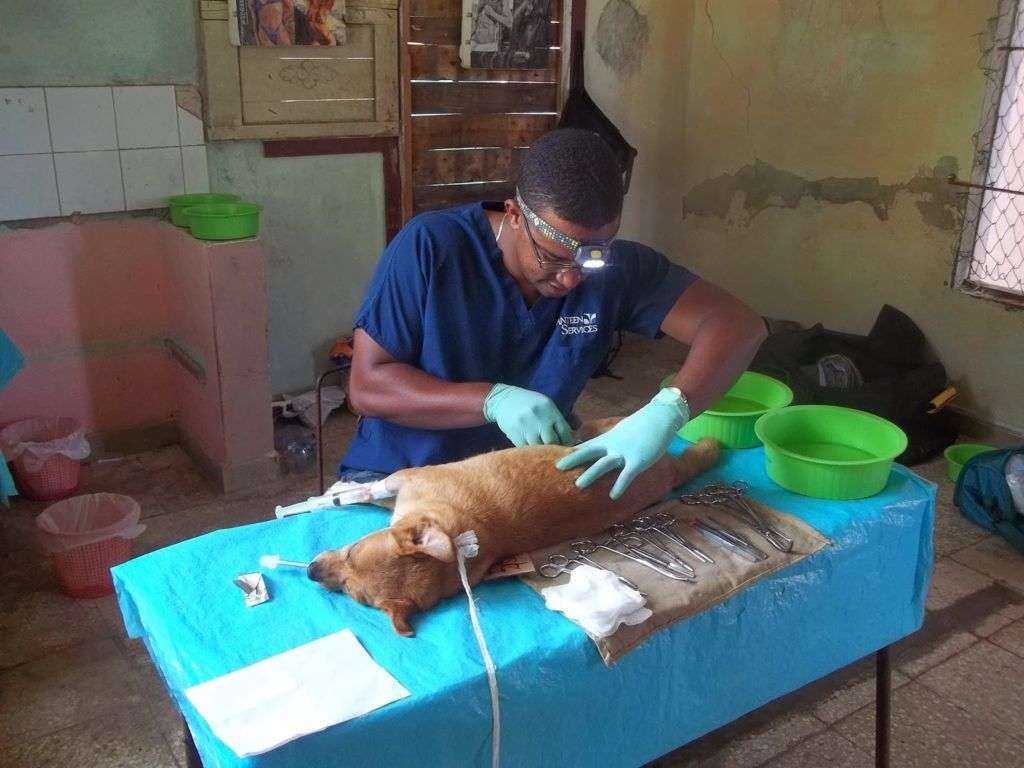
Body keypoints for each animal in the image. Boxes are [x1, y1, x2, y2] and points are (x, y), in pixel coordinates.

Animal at [307, 421, 724, 638]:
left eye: (350, 553)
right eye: (347, 590)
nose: (310, 572)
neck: (460, 537)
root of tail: (669, 470)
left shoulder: (408, 479)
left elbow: (374, 491)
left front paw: (341, 493)